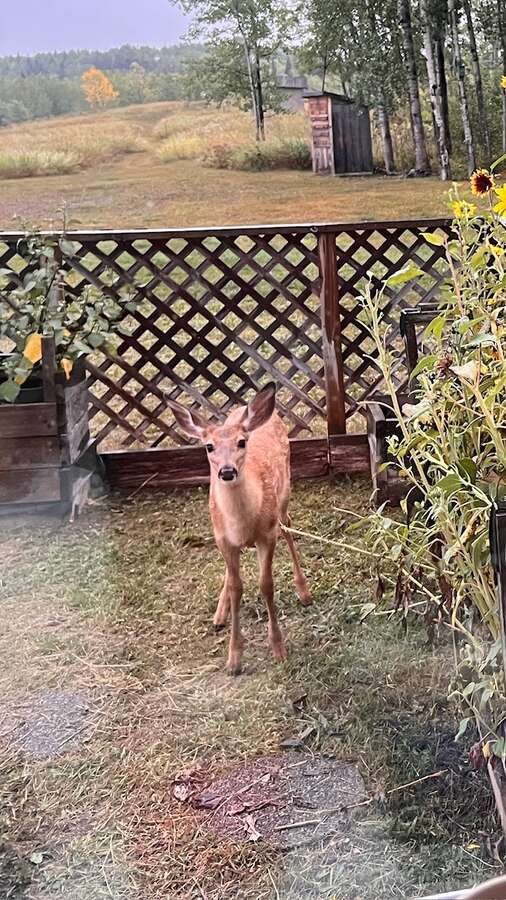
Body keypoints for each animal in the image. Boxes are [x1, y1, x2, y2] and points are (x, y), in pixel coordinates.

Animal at [166, 383, 311, 675]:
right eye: (209, 446)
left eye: (242, 442)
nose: (227, 471)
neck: (244, 524)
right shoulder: (223, 539)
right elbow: (236, 587)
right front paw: (234, 659)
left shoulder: (267, 534)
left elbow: (266, 584)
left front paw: (278, 648)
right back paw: (219, 614)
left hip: (284, 494)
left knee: (288, 527)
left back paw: (303, 590)